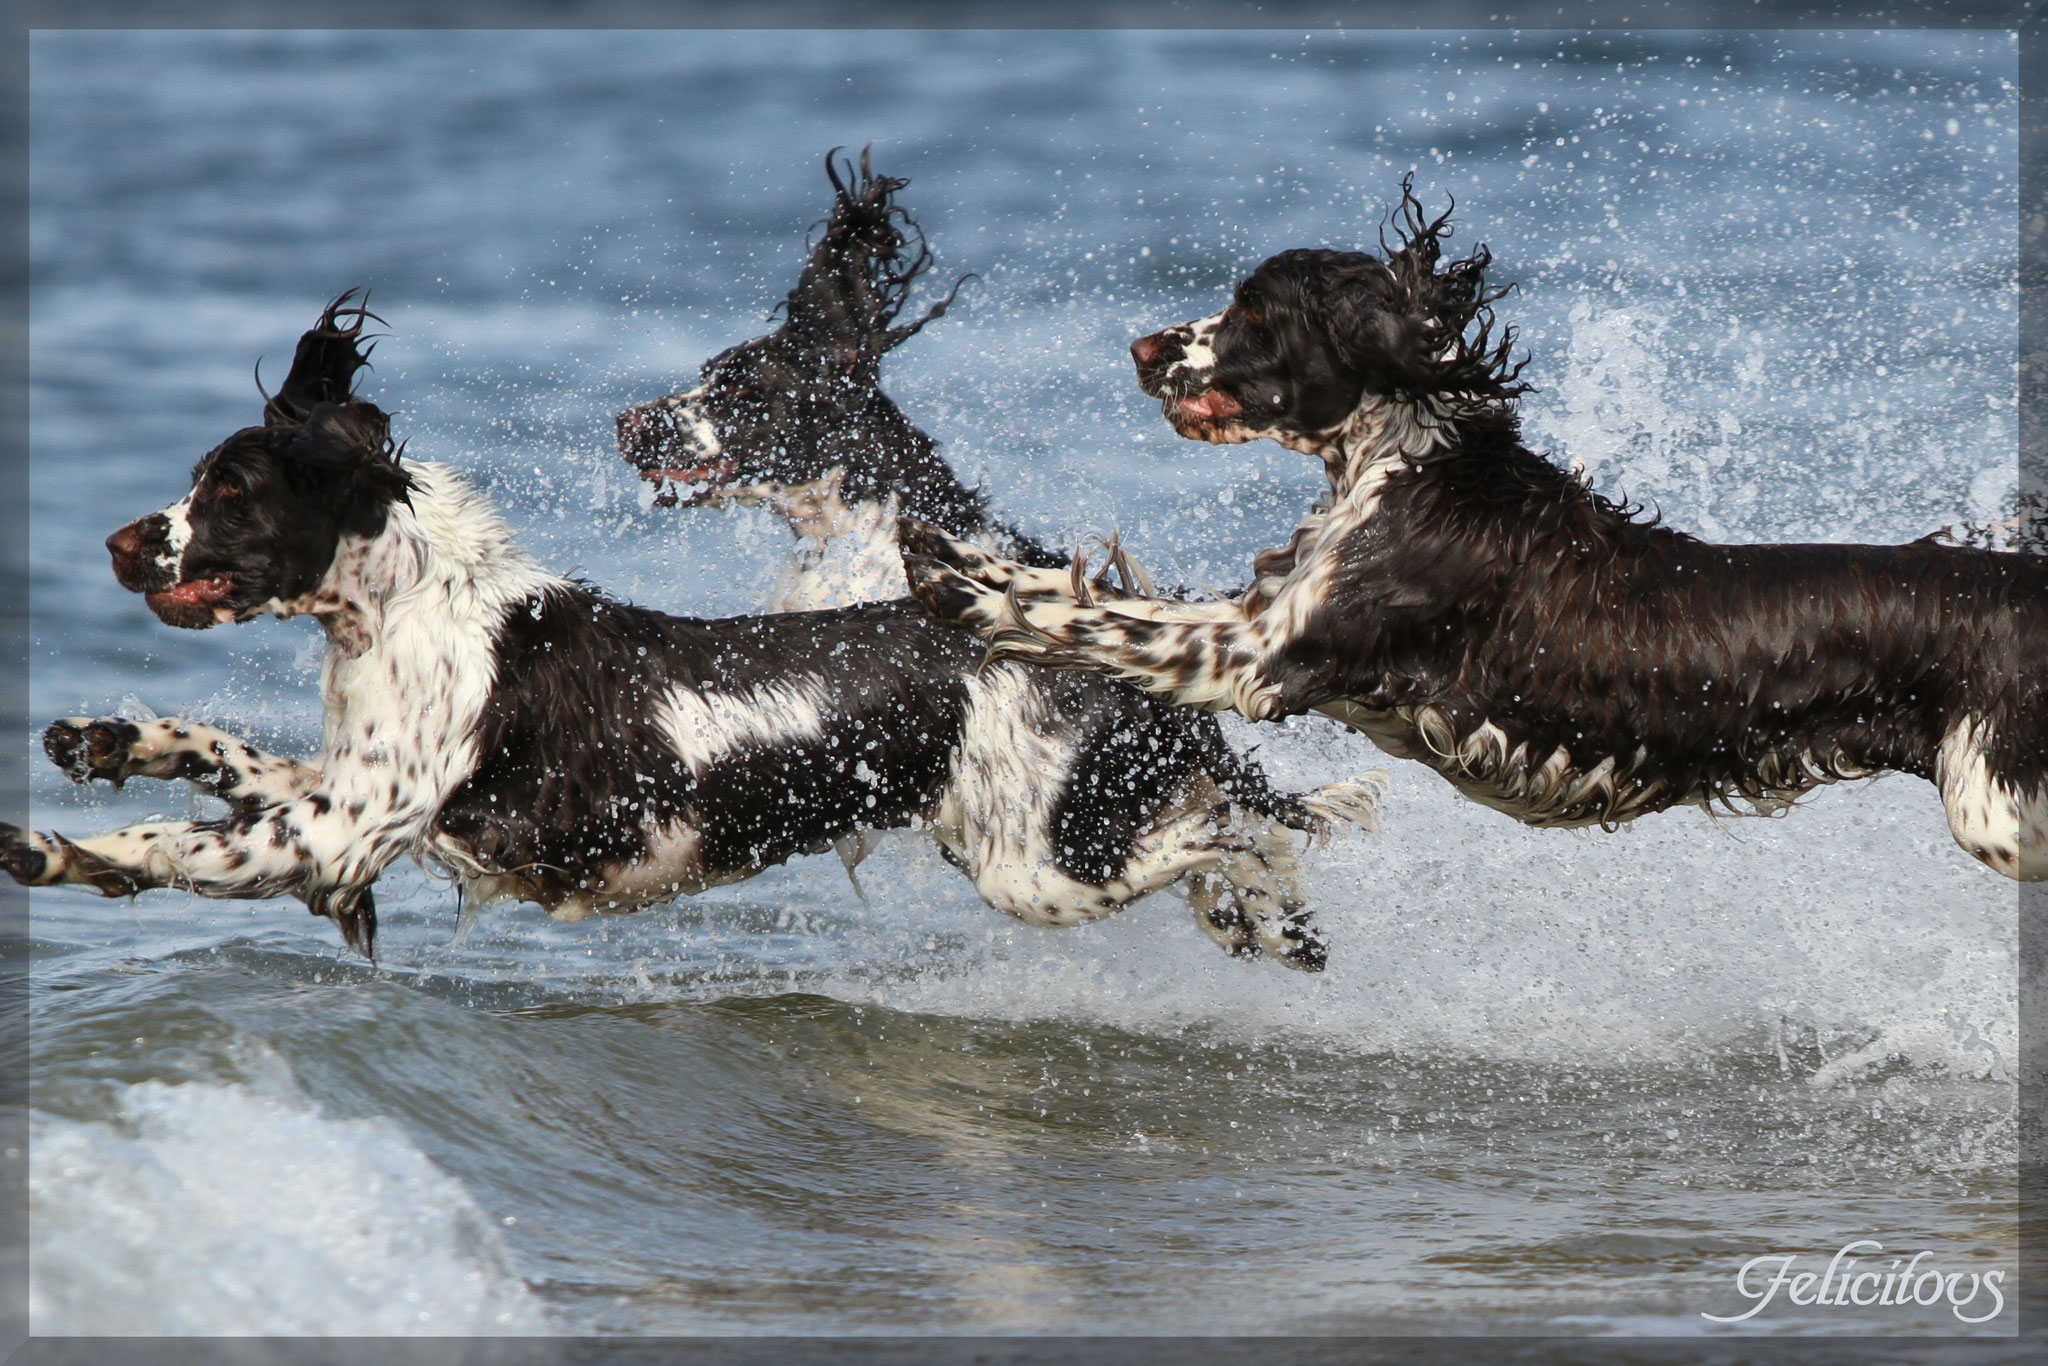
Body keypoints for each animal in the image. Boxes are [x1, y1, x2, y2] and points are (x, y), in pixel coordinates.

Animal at [8, 294, 1376, 966]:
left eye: (230, 491)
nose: (122, 543)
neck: (403, 605)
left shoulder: (348, 830)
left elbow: (182, 844)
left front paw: (56, 848)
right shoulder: (355, 790)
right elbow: (229, 755)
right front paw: (103, 738)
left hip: (1031, 865)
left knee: (1227, 828)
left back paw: (1263, 896)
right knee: (1226, 823)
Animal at [913, 181, 2048, 880]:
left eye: (1252, 312)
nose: (1144, 349)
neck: (1405, 464)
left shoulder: (1263, 656)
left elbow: (1104, 619)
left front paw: (964, 589)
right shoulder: (1261, 618)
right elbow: (1081, 590)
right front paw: (954, 554)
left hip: (1991, 807)